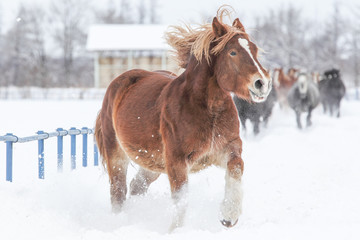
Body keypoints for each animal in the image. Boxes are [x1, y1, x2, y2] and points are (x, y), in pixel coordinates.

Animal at [94, 9, 272, 231]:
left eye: (254, 49)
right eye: (232, 52)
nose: (262, 83)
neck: (208, 111)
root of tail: (118, 83)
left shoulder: (227, 149)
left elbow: (236, 169)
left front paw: (228, 216)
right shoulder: (177, 161)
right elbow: (181, 199)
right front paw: (176, 230)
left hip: (152, 164)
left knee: (136, 187)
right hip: (116, 155)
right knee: (118, 192)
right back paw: (120, 221)